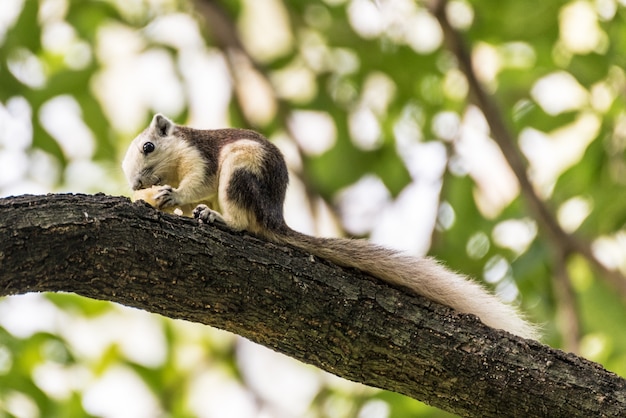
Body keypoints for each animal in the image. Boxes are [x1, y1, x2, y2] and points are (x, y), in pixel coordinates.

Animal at [122, 113, 536, 340]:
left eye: (147, 147)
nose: (135, 184)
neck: (174, 162)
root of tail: (275, 217)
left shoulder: (201, 159)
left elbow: (197, 186)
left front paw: (172, 196)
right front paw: (158, 201)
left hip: (241, 170)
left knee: (246, 223)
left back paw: (221, 219)